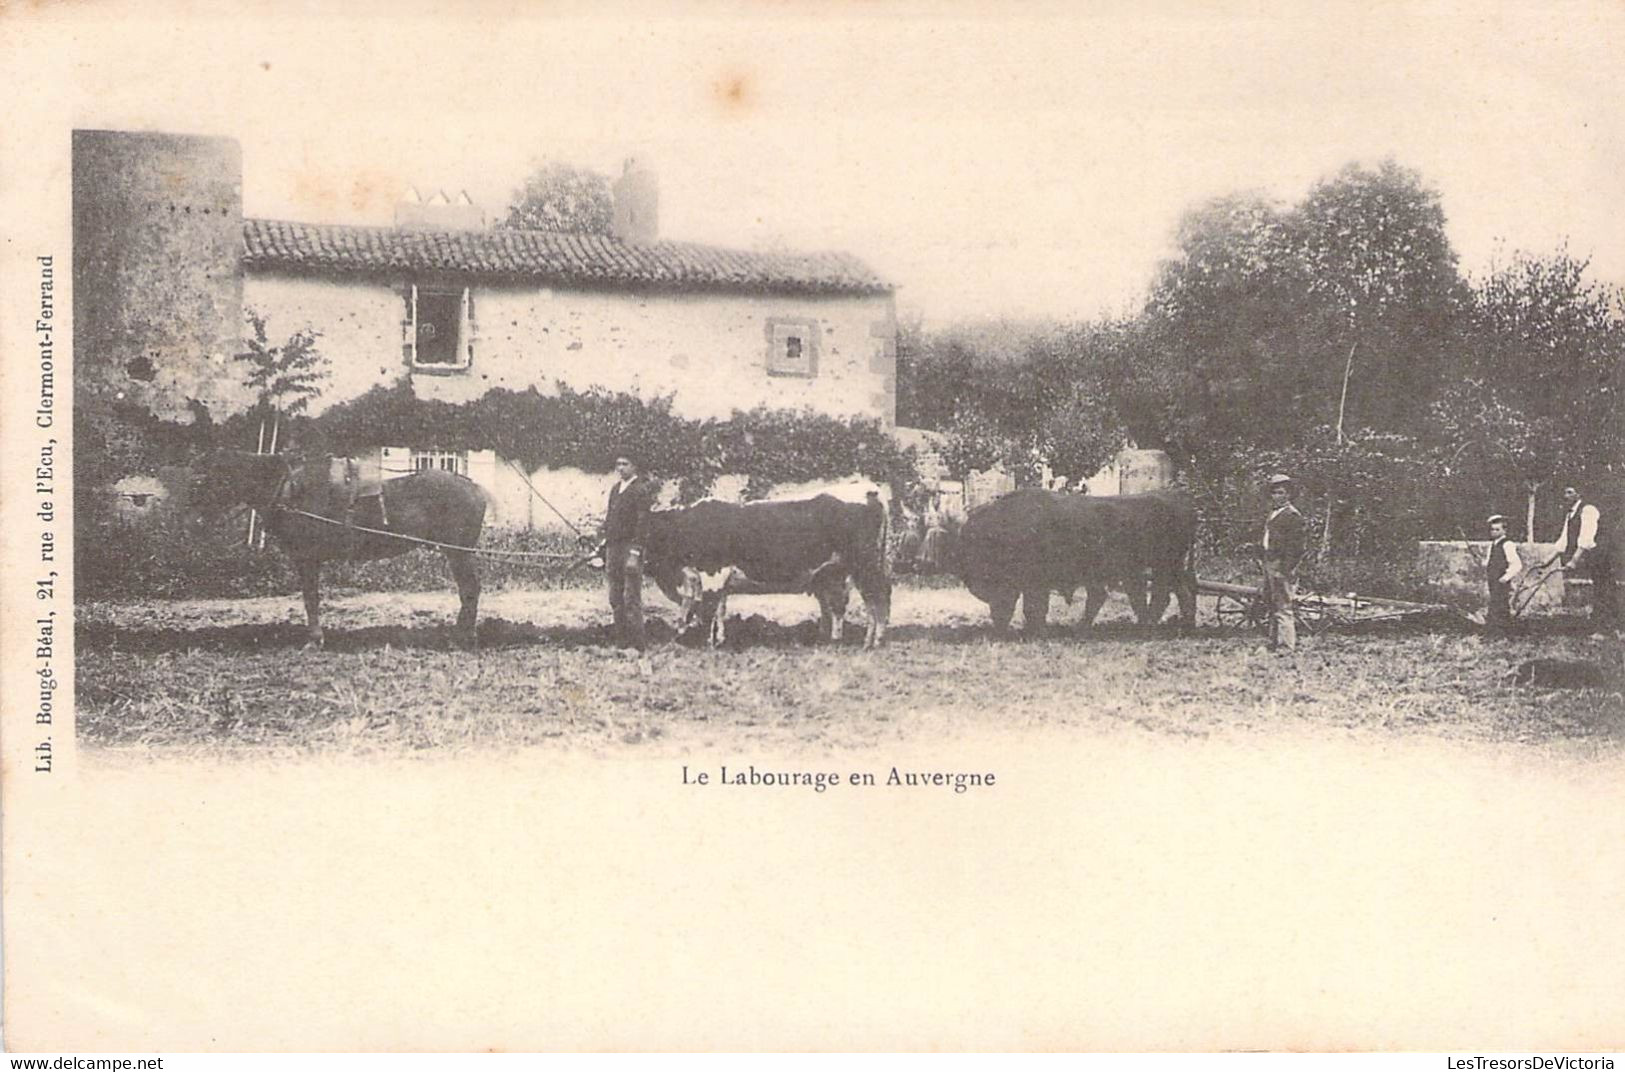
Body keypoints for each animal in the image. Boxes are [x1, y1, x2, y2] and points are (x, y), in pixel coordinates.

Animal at [187, 451, 484, 649]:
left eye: (208, 479)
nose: (195, 516)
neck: (290, 488)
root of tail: (474, 487)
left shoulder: (307, 557)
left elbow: (311, 598)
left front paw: (314, 640)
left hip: (458, 552)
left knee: (470, 589)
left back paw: (462, 637)